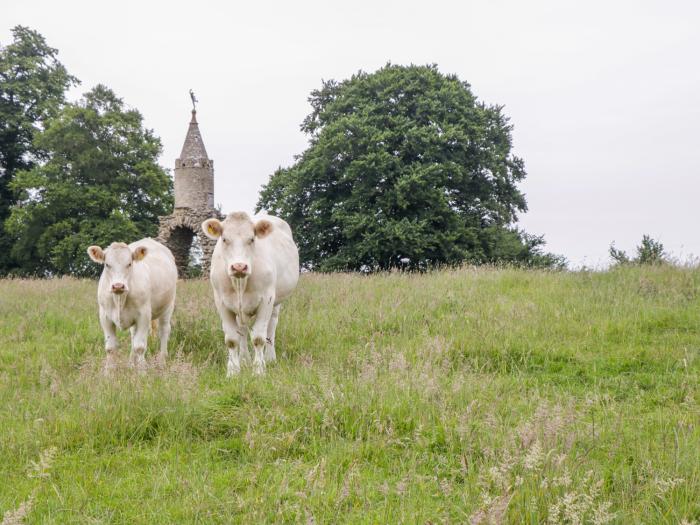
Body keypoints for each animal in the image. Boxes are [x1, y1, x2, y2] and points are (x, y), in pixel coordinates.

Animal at [86, 237, 178, 368]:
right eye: (107, 264)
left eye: (129, 264)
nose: (118, 286)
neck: (120, 298)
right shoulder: (104, 316)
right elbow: (110, 348)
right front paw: (109, 371)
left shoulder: (144, 315)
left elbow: (139, 347)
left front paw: (142, 370)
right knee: (133, 335)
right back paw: (131, 362)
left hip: (168, 306)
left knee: (164, 330)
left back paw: (162, 361)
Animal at [202, 211, 300, 374]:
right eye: (224, 239)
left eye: (252, 239)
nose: (239, 267)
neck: (240, 282)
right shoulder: (221, 302)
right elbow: (232, 339)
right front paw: (233, 371)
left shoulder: (267, 299)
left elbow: (259, 338)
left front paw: (259, 370)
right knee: (242, 329)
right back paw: (244, 359)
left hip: (276, 302)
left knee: (271, 327)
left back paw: (270, 358)